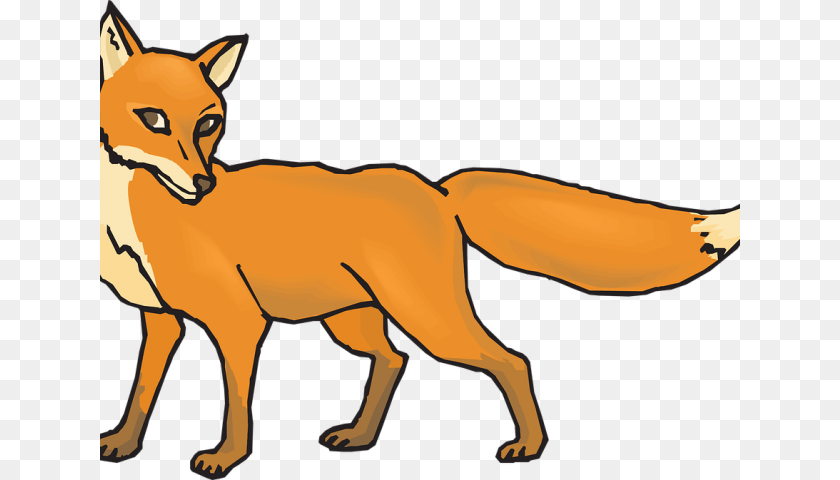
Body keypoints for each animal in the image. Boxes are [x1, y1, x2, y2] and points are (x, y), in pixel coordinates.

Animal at [99, 3, 741, 478]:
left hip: (429, 318)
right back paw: (361, 437)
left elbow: (236, 403)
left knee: (510, 359)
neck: (132, 220)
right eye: (154, 118)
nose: (204, 184)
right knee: (394, 359)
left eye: (209, 122)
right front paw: (123, 445)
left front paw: (226, 459)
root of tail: (435, 187)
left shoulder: (238, 321)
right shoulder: (161, 321)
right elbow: (141, 391)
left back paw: (528, 448)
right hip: (353, 321)